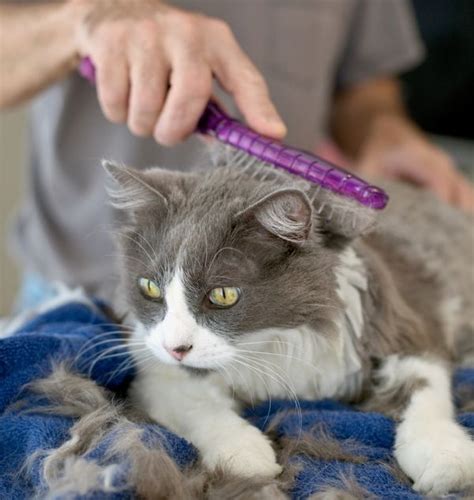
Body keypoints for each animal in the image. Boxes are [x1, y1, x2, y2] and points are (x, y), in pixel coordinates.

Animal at [103, 153, 474, 496]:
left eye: (223, 295)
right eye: (150, 287)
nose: (176, 348)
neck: (272, 341)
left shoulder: (406, 328)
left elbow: (425, 390)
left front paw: (446, 460)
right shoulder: (154, 371)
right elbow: (196, 404)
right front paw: (245, 454)